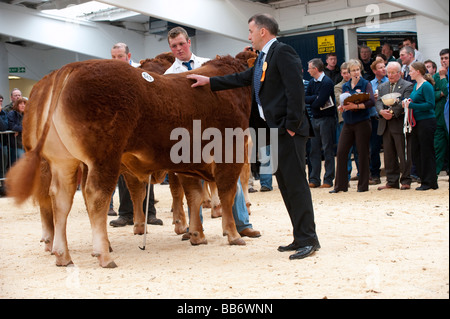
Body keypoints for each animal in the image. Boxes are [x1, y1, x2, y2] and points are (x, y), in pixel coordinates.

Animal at [6, 54, 253, 268]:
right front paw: (232, 234)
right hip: (104, 157)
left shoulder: (188, 162)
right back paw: (103, 254)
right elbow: (227, 193)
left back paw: (62, 254)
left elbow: (194, 196)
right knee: (95, 196)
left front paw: (197, 234)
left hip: (62, 161)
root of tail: (69, 68)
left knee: (60, 199)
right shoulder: (231, 151)